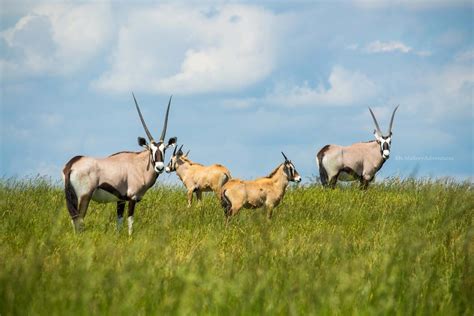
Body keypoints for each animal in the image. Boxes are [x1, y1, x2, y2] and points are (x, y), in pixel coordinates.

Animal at [61, 94, 176, 235]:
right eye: (150, 150)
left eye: (164, 149)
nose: (159, 167)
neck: (139, 165)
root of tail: (71, 164)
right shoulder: (132, 197)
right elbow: (130, 221)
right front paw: (130, 237)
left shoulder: (120, 200)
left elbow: (119, 222)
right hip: (84, 197)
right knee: (79, 219)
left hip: (72, 197)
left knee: (74, 219)